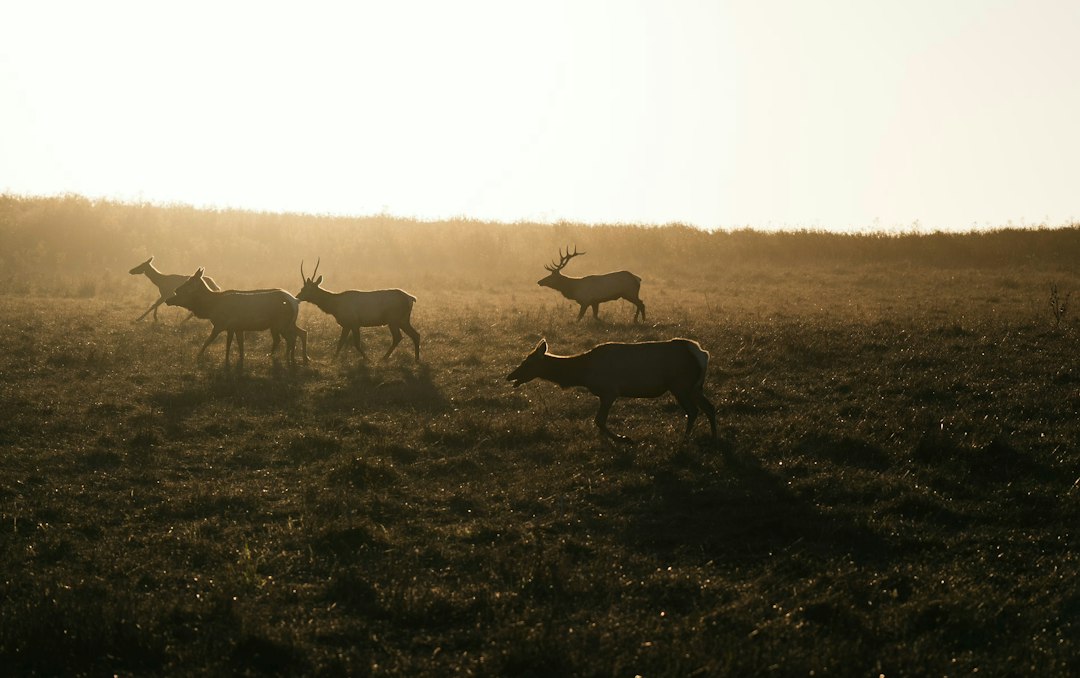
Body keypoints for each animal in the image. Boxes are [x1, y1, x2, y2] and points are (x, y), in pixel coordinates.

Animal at [165, 268, 308, 366]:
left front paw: (198, 357)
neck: (211, 307)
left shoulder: (221, 324)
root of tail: (295, 301)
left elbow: (209, 341)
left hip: (280, 324)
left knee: (290, 338)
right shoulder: (236, 327)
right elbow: (238, 345)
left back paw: (286, 358)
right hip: (288, 323)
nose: (173, 293)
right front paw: (238, 360)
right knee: (301, 333)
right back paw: (294, 358)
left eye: (188, 283)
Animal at [507, 338, 717, 443]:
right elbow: (599, 423)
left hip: (680, 384)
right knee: (710, 407)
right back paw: (714, 437)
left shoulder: (609, 391)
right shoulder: (605, 394)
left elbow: (599, 420)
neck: (582, 373)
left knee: (693, 411)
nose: (510, 376)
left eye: (528, 362)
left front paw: (624, 438)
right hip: (694, 387)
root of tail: (702, 354)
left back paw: (684, 440)